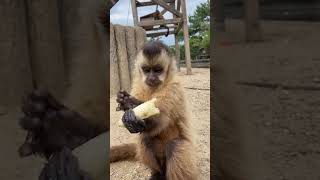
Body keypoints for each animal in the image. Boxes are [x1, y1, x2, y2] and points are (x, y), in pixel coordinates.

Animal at [112, 41, 198, 180]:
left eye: (157, 70)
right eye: (147, 70)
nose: (152, 78)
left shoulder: (174, 88)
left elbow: (161, 119)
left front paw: (131, 108)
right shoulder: (138, 83)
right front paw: (127, 103)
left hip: (189, 155)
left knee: (174, 146)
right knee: (146, 138)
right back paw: (157, 173)